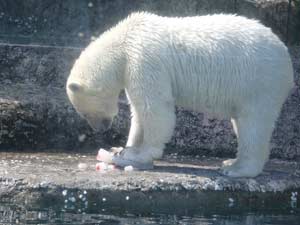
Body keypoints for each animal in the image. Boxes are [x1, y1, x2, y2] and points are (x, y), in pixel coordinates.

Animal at [67, 12, 294, 178]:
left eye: (84, 113)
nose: (100, 129)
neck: (125, 40)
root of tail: (285, 56)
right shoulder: (132, 69)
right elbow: (138, 113)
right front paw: (125, 149)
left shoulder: (144, 61)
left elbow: (155, 109)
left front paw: (139, 155)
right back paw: (231, 161)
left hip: (259, 81)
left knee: (253, 123)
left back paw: (236, 169)